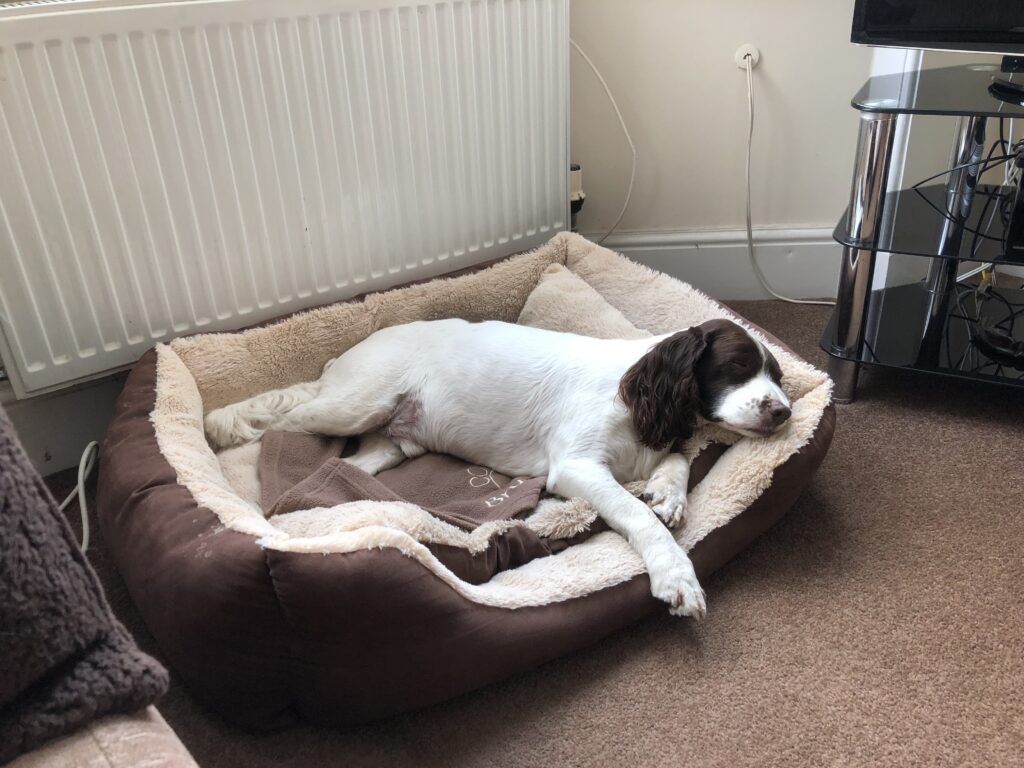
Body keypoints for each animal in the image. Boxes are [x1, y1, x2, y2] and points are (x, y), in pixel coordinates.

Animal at [201, 315, 790, 618]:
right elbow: (637, 515)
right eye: (737, 366)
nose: (784, 411)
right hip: (348, 403)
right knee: (282, 418)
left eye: (779, 377)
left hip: (390, 443)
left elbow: (675, 461)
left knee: (356, 466)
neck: (631, 390)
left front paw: (669, 492)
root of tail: (340, 360)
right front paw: (676, 576)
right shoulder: (576, 467)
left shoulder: (653, 441)